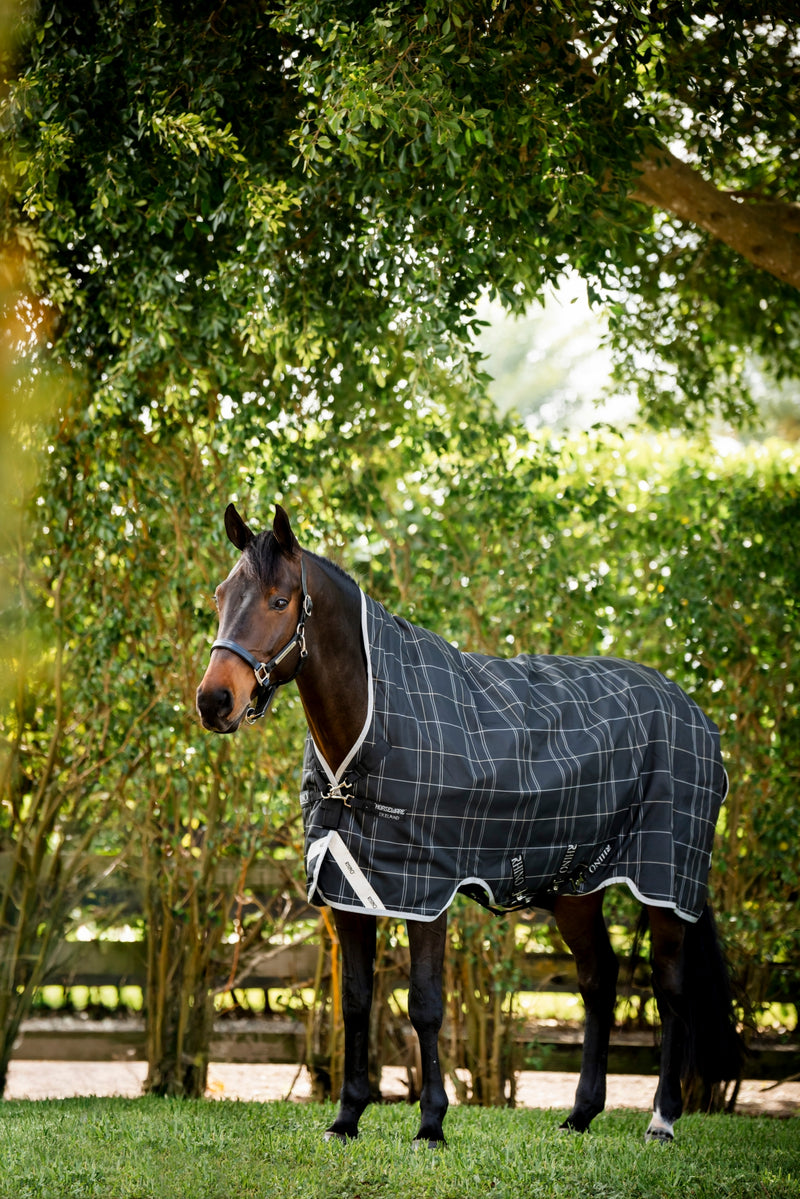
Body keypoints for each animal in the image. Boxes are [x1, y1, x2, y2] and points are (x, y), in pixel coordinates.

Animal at [196, 503, 742, 1147]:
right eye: (220, 595)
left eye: (280, 600)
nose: (214, 701)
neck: (372, 727)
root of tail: (693, 711)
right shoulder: (348, 887)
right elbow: (356, 1002)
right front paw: (347, 1117)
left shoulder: (428, 892)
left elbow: (425, 1004)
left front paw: (431, 1124)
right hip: (577, 885)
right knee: (598, 980)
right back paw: (581, 1114)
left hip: (666, 884)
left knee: (671, 988)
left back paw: (662, 1118)